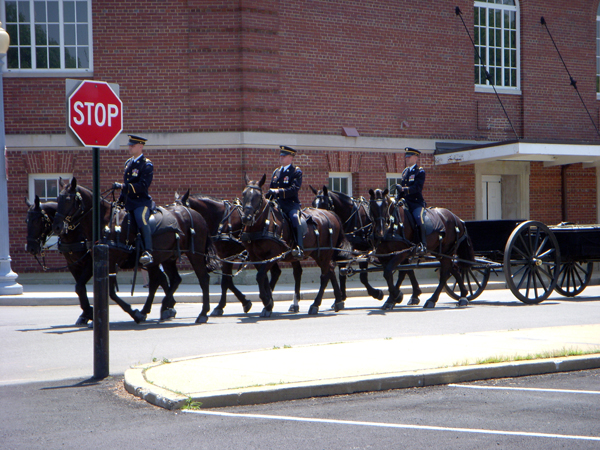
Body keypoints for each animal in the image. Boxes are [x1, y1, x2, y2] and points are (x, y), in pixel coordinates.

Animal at [50, 177, 217, 324]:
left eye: (68, 199)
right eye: (57, 199)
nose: (57, 226)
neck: (106, 222)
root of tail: (195, 214)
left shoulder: (111, 263)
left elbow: (111, 292)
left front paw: (134, 313)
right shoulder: (95, 262)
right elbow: (84, 287)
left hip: (194, 254)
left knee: (203, 279)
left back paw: (202, 313)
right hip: (167, 258)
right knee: (173, 279)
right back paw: (158, 307)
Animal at [239, 173, 352, 316]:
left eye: (258, 196)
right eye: (244, 194)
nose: (246, 218)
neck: (264, 224)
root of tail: (331, 214)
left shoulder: (273, 255)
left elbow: (260, 276)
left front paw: (267, 301)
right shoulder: (256, 257)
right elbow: (263, 277)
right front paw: (269, 303)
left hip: (323, 253)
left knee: (325, 275)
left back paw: (315, 304)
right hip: (319, 254)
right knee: (330, 270)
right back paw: (338, 301)